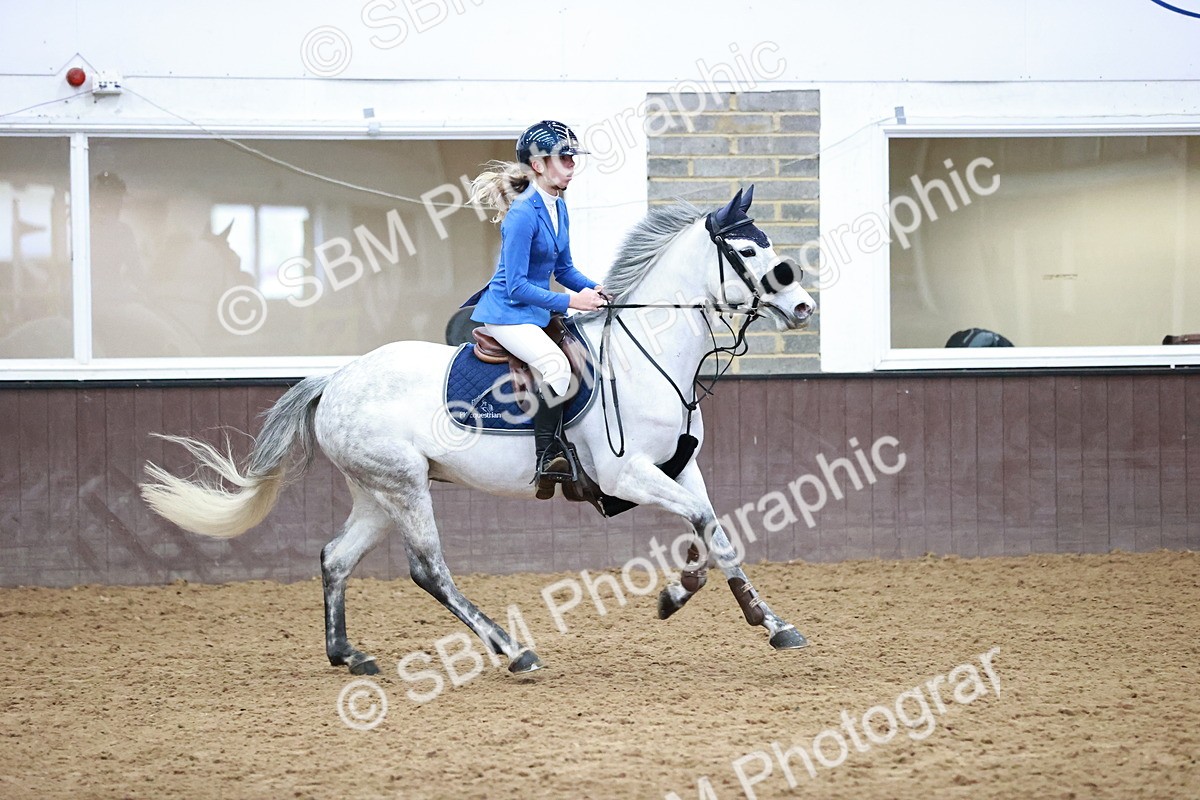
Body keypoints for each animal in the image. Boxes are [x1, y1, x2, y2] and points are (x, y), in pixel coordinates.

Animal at [140, 186, 817, 676]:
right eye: (748, 253)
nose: (803, 306)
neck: (643, 355)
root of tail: (335, 380)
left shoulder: (681, 467)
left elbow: (718, 532)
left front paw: (767, 623)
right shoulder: (627, 474)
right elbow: (704, 524)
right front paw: (682, 594)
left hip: (377, 492)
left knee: (336, 557)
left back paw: (350, 655)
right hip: (405, 486)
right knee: (428, 570)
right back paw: (511, 650)